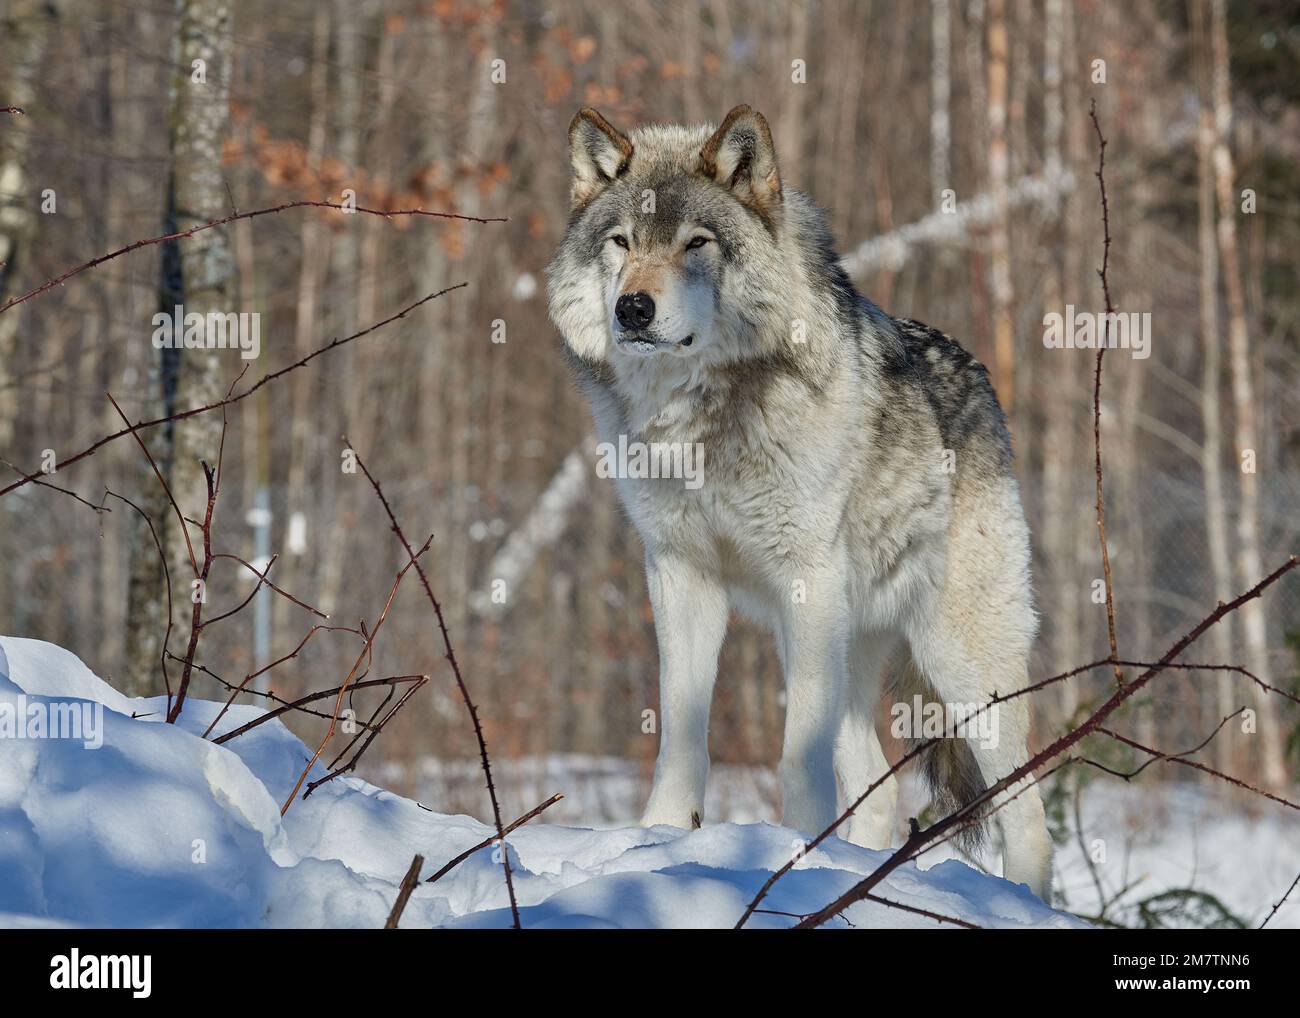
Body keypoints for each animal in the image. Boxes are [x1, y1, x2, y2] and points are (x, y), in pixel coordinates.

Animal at [546, 105, 1052, 897]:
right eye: (621, 242)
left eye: (697, 243)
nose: (633, 308)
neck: (700, 419)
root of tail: (983, 380)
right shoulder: (680, 576)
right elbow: (681, 736)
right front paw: (660, 839)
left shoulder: (804, 578)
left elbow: (794, 755)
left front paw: (794, 858)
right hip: (840, 644)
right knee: (878, 792)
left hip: (955, 662)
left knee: (1028, 811)